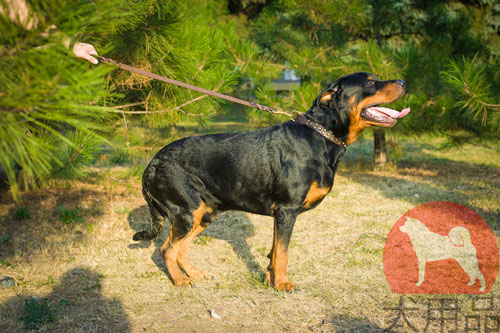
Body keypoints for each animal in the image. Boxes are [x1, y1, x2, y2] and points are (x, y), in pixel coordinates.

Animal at [134, 71, 410, 290]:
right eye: (370, 81)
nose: (404, 81)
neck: (320, 137)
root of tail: (152, 164)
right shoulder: (287, 210)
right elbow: (284, 252)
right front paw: (282, 284)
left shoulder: (281, 215)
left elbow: (275, 251)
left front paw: (270, 280)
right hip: (187, 211)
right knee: (167, 249)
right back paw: (181, 281)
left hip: (204, 213)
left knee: (178, 248)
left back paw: (195, 274)